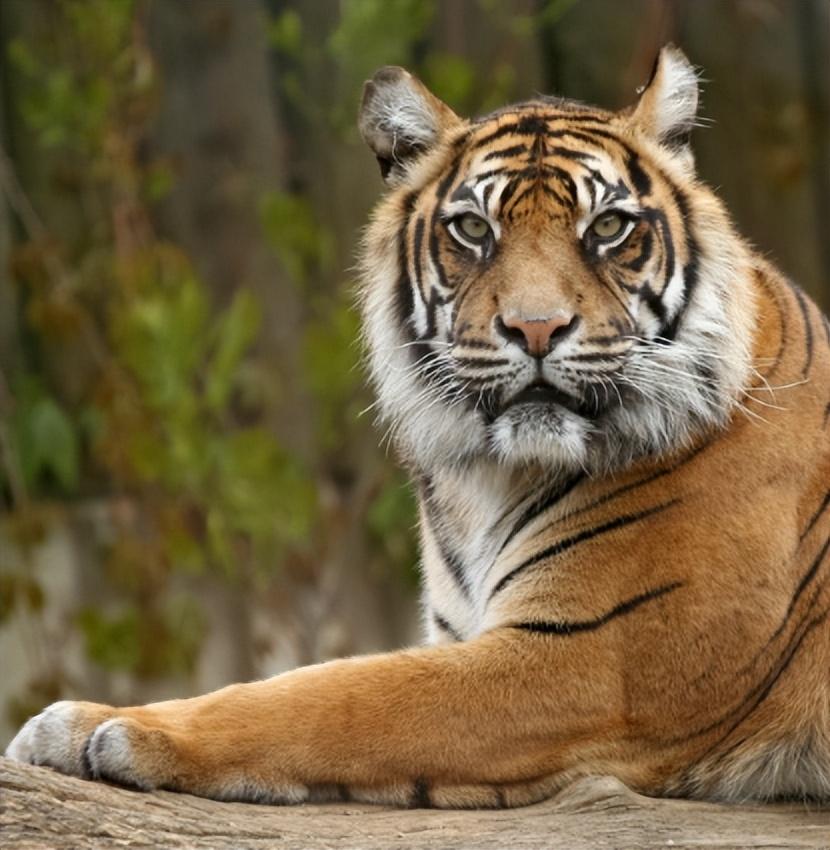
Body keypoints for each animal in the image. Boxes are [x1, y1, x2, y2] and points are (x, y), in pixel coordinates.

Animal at [6, 45, 830, 808]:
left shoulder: (587, 662)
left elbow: (328, 696)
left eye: (607, 227)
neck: (491, 479)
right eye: (471, 228)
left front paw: (99, 726)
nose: (535, 328)